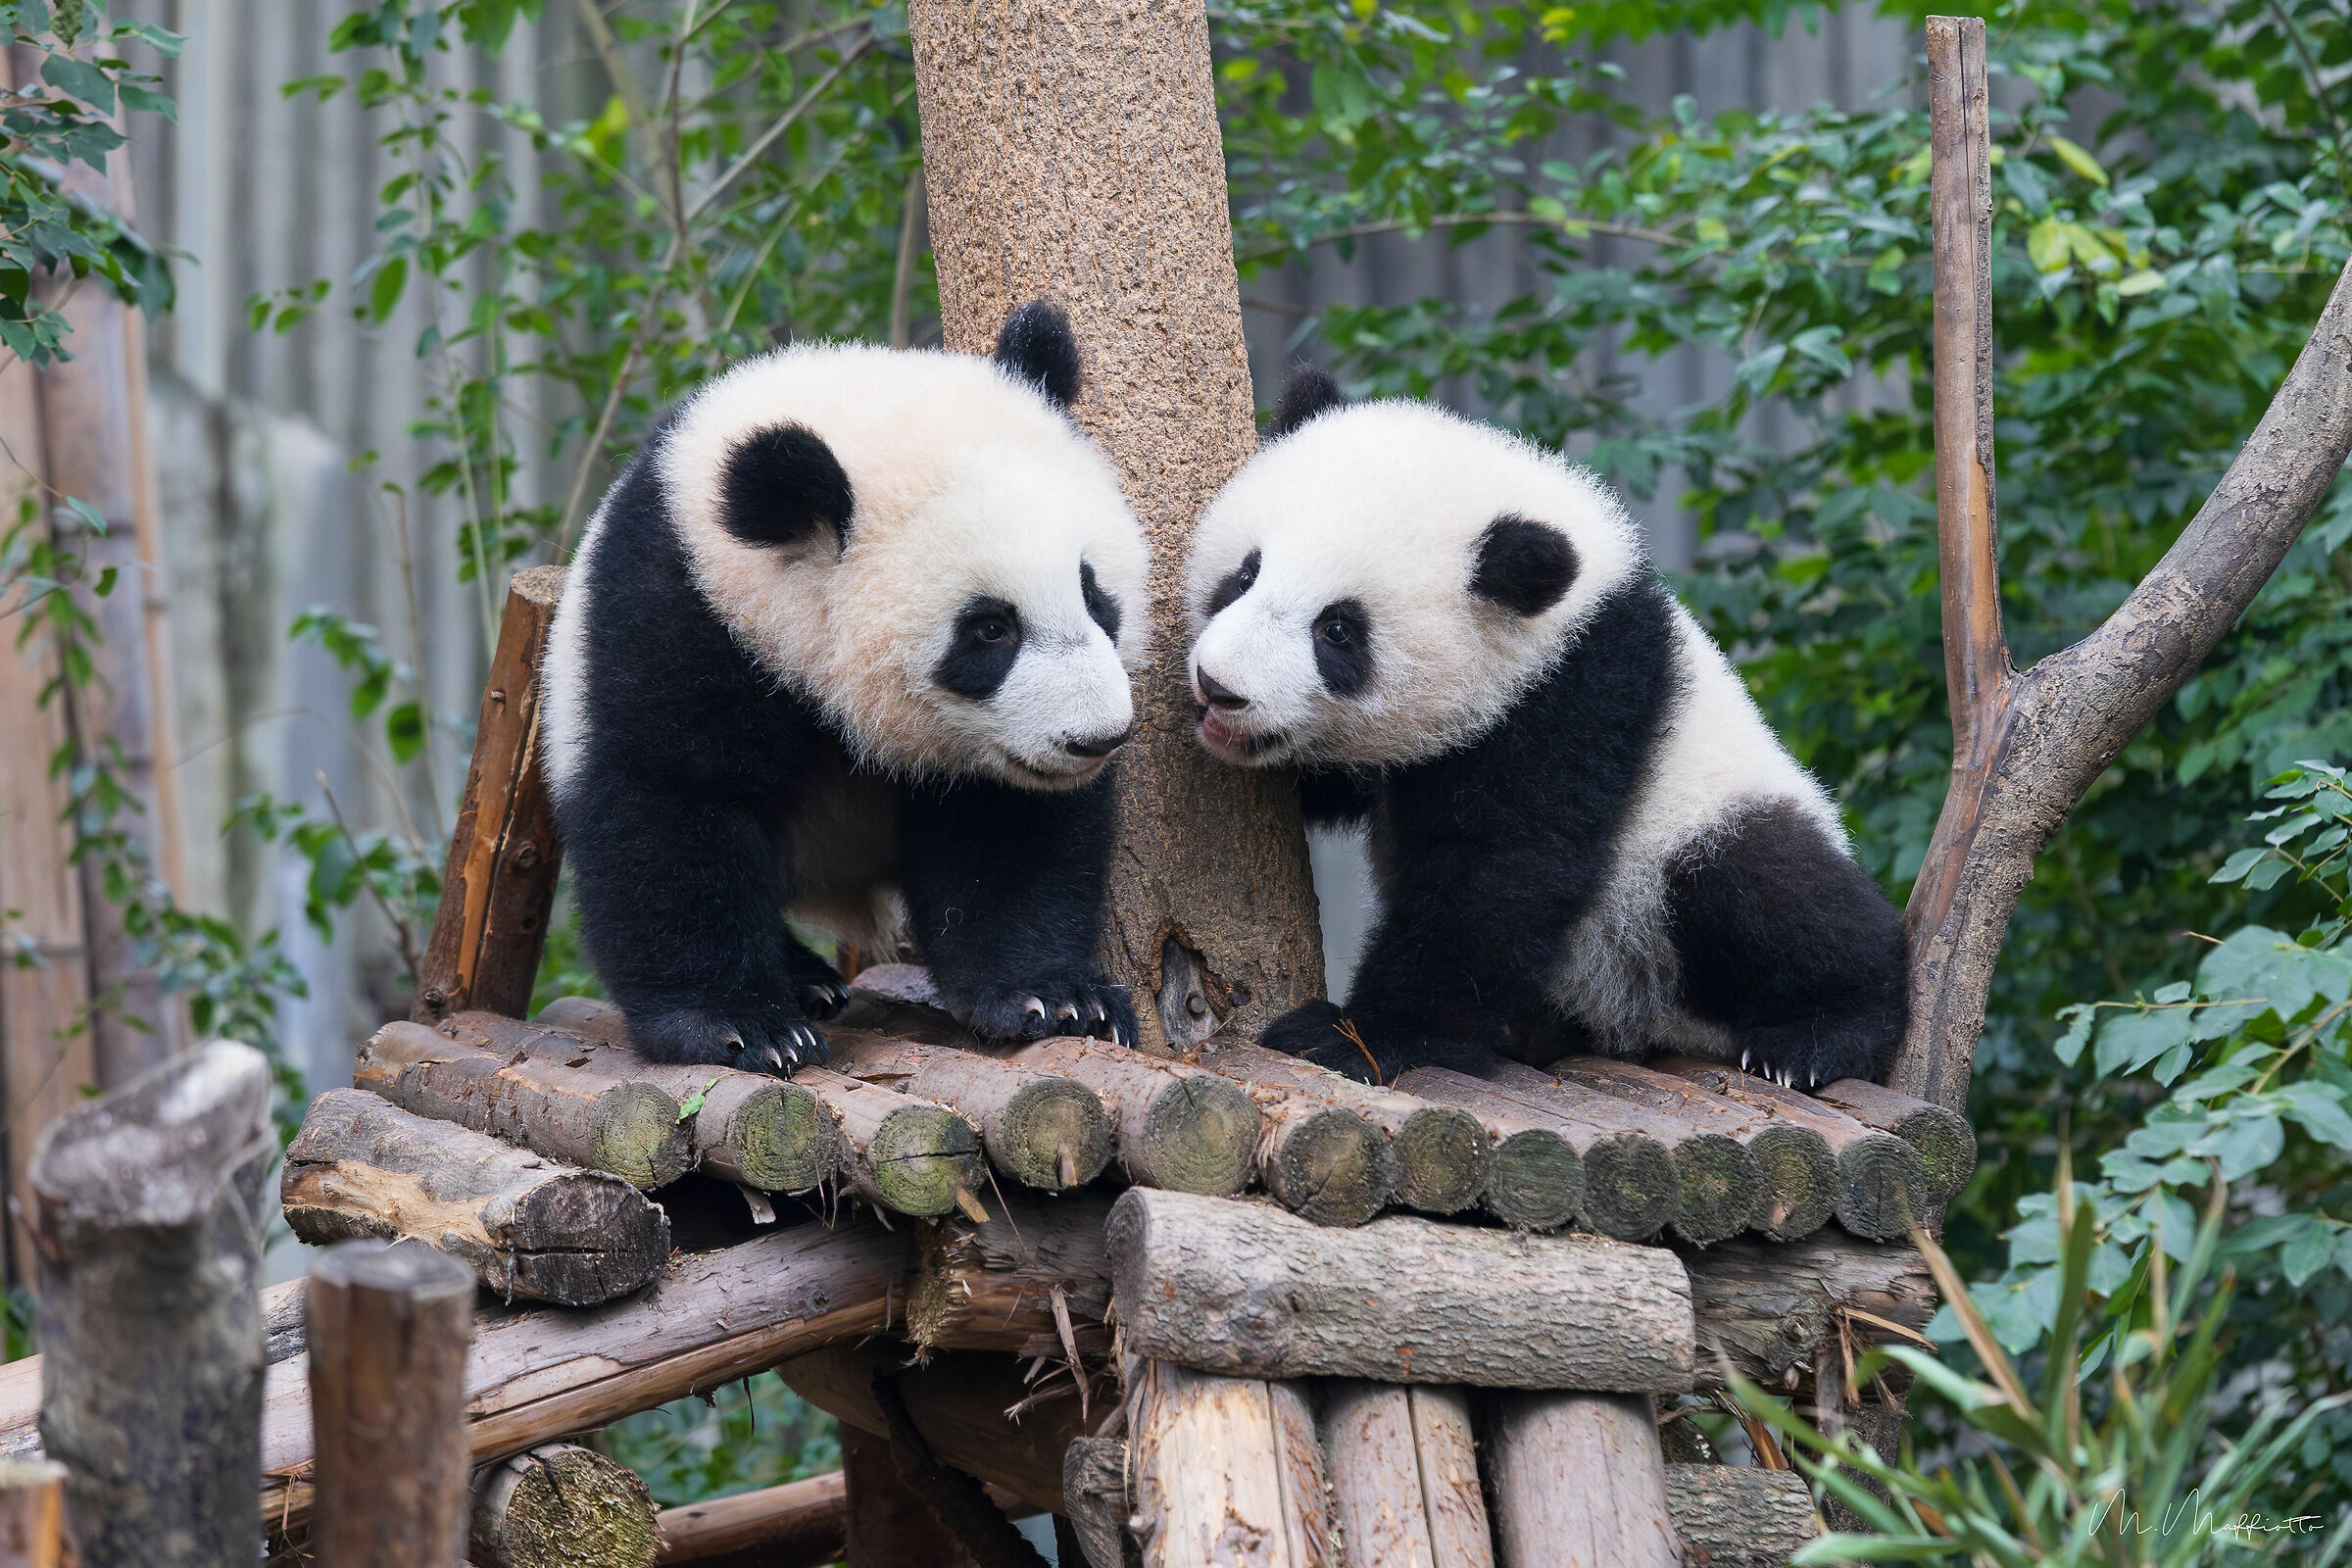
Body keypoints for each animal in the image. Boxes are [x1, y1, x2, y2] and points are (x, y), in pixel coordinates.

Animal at [542, 303, 1146, 1075]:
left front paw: (1054, 996)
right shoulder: (676, 605)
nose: (1096, 738)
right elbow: (669, 800)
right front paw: (740, 1028)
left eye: (1096, 596)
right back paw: (803, 983)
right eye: (989, 630)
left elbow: (1008, 825)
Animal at [1180, 369, 1908, 1090]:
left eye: (1337, 630)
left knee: (1762, 884)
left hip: (1693, 838)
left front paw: (1354, 1039)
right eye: (1245, 574)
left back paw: (1816, 1037)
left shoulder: (1575, 699)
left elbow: (1500, 873)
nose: (1218, 686)